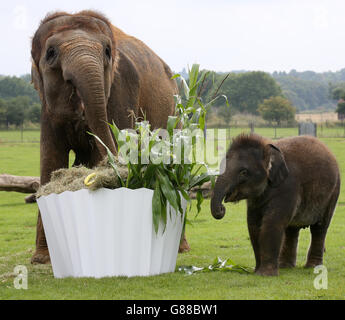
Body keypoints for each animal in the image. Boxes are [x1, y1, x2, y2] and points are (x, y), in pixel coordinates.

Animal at [31, 10, 188, 264]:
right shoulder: (47, 108)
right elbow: (51, 161)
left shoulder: (121, 89)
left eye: (106, 51)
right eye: (51, 53)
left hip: (175, 113)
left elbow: (100, 150)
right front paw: (42, 259)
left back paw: (182, 249)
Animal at [210, 134, 338, 276]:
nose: (222, 208)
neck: (267, 148)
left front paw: (264, 275)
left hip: (333, 193)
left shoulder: (288, 186)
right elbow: (253, 225)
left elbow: (272, 223)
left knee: (319, 227)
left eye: (243, 172)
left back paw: (312, 267)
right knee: (291, 230)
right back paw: (285, 267)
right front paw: (257, 271)